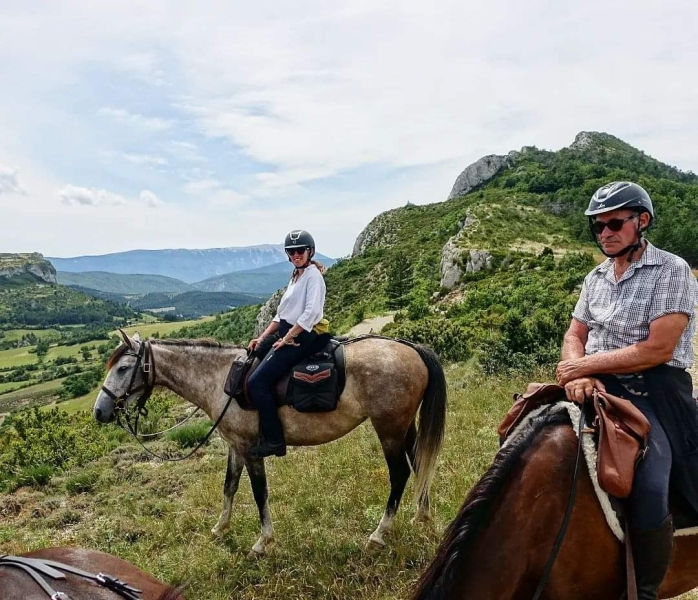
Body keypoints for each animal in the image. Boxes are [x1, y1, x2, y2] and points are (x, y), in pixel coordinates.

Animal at [92, 330, 446, 556]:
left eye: (123, 368)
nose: (100, 410)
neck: (221, 379)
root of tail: (412, 349)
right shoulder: (235, 445)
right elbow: (229, 486)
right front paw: (220, 528)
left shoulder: (251, 449)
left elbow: (259, 493)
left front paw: (263, 542)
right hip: (404, 426)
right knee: (420, 463)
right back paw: (422, 516)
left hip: (388, 428)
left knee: (400, 474)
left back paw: (378, 534)